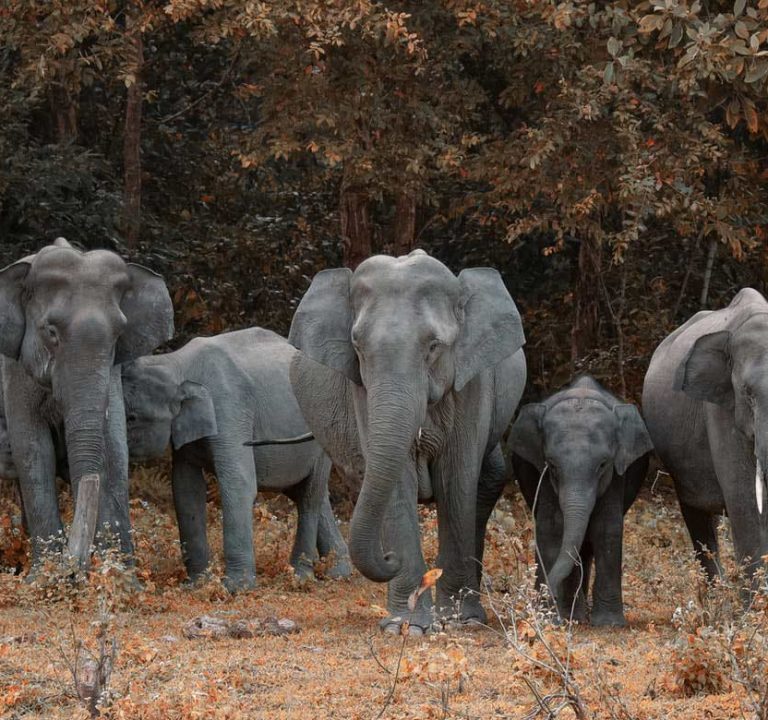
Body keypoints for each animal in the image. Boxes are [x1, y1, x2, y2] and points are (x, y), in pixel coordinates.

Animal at [0, 239, 173, 572]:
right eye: (51, 332)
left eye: (119, 334)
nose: (78, 570)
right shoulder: (13, 369)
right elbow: (33, 449)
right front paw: (43, 576)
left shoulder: (113, 370)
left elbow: (115, 448)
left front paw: (120, 575)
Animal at [121, 326, 352, 592]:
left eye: (132, 418)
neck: (176, 362)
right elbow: (186, 488)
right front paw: (197, 585)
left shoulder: (229, 406)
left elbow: (238, 483)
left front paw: (235, 588)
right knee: (311, 494)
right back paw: (339, 573)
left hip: (322, 431)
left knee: (309, 496)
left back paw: (300, 576)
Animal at [288, 250, 528, 632]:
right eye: (357, 346)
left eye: (434, 346)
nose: (389, 558)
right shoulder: (362, 390)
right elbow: (397, 484)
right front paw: (408, 627)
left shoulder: (473, 382)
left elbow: (456, 481)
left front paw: (462, 622)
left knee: (486, 481)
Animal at [508, 374, 652, 628]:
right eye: (552, 465)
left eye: (603, 464)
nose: (542, 601)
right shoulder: (545, 481)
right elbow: (553, 528)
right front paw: (559, 617)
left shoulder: (616, 476)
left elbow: (606, 529)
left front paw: (608, 624)